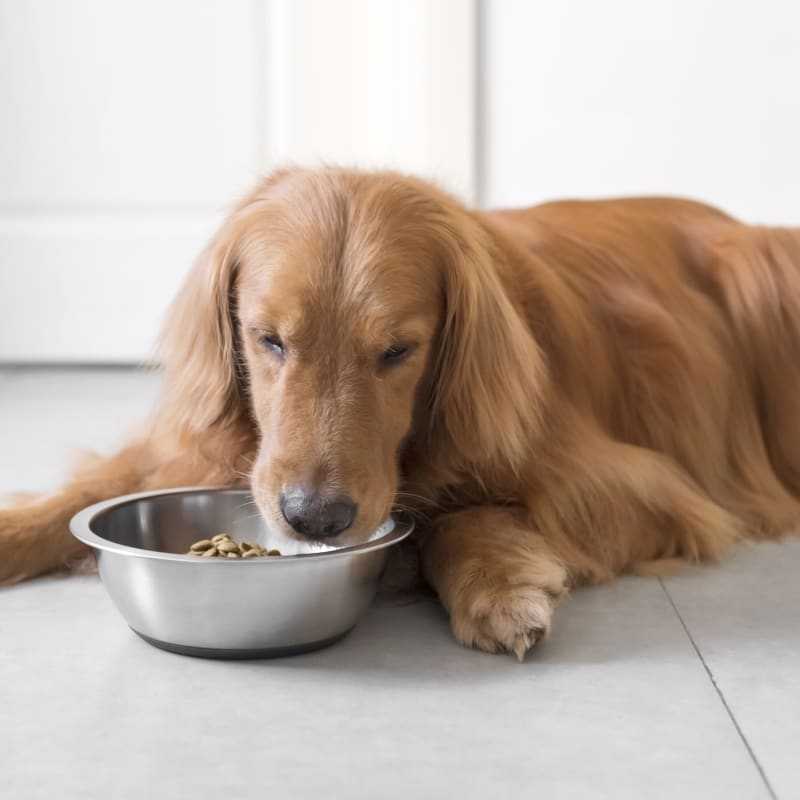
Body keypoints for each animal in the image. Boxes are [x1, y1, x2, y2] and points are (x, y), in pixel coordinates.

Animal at [1, 167, 800, 656]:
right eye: (269, 339)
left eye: (397, 351)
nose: (313, 519)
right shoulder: (198, 446)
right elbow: (87, 491)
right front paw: (16, 530)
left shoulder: (643, 491)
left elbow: (454, 518)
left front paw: (497, 587)